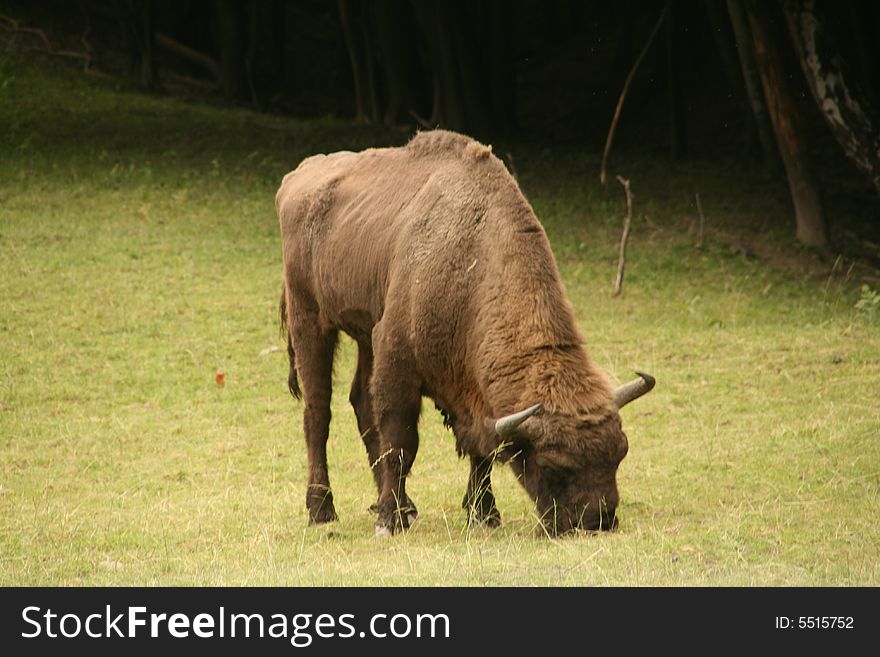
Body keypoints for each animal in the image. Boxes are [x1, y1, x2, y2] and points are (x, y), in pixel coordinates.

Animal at [276, 128, 652, 532]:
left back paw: (399, 505)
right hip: (310, 321)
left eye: (620, 453)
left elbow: (478, 449)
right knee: (318, 414)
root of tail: (295, 178)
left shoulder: (466, 385)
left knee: (360, 403)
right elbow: (401, 444)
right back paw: (323, 509)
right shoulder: (396, 360)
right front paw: (390, 521)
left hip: (364, 334)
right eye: (554, 467)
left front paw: (484, 513)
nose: (598, 518)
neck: (474, 260)